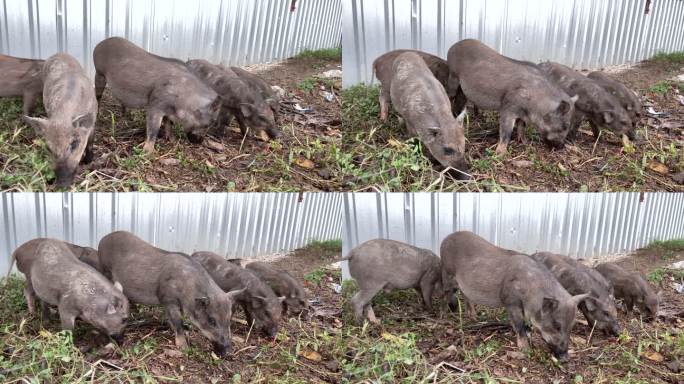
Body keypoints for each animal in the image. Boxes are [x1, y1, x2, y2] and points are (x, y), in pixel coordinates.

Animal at [23, 52, 98, 188]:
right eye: (48, 147)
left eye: (74, 144)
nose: (62, 185)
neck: (63, 115)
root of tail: (59, 53)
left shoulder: (93, 123)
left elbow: (90, 142)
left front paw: (88, 162)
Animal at [97, 230, 243, 356]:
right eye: (212, 320)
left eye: (229, 318)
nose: (228, 352)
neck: (188, 288)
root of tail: (104, 238)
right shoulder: (168, 299)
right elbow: (178, 322)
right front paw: (184, 348)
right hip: (104, 268)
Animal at [440, 231, 592, 360]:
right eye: (556, 325)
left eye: (572, 325)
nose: (565, 358)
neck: (531, 293)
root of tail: (446, 238)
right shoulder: (511, 301)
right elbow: (519, 324)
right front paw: (525, 349)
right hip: (448, 273)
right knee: (446, 293)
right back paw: (444, 316)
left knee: (465, 295)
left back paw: (474, 317)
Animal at [446, 39, 576, 156]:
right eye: (565, 126)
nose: (562, 146)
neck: (537, 104)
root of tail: (453, 46)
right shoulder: (508, 108)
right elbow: (506, 132)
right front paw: (500, 154)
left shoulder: (522, 114)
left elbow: (521, 127)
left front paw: (524, 142)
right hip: (453, 77)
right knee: (450, 95)